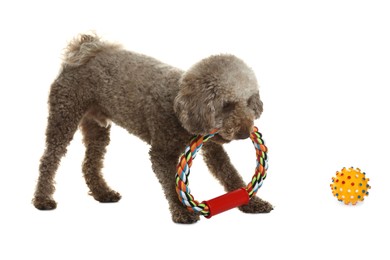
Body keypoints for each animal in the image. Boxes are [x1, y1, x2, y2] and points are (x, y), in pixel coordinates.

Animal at [32, 33, 272, 222]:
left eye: (249, 101)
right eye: (227, 105)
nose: (244, 132)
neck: (178, 105)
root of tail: (83, 50)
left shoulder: (211, 148)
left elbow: (230, 174)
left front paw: (253, 202)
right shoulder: (161, 153)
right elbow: (172, 184)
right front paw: (181, 212)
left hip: (97, 128)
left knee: (90, 164)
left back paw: (103, 193)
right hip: (64, 116)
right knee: (49, 159)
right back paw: (43, 199)